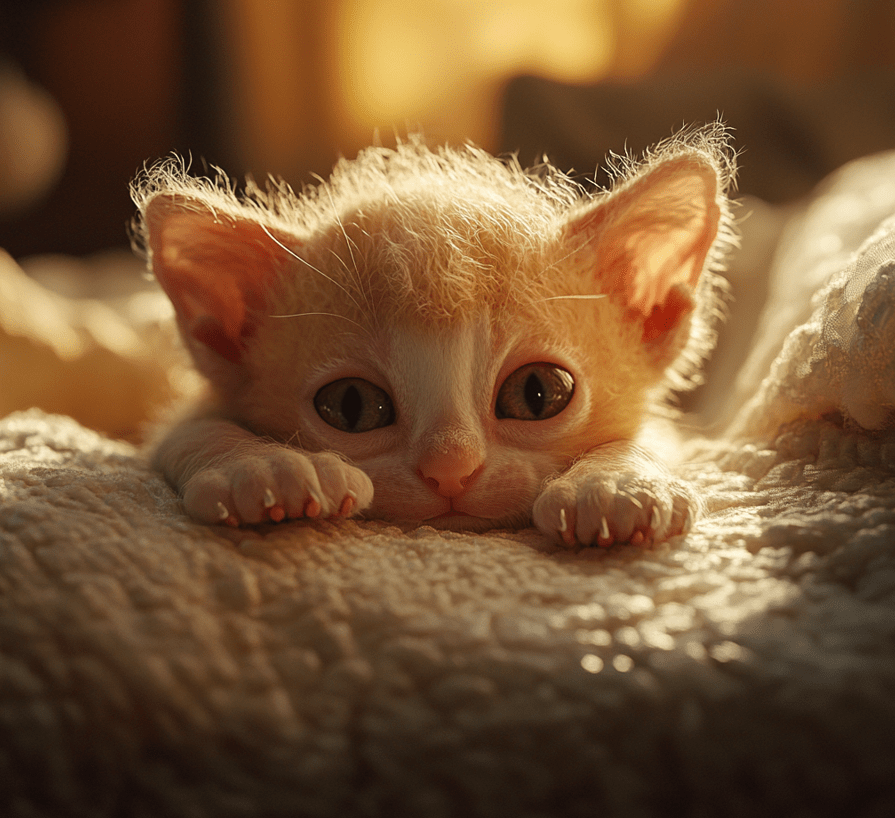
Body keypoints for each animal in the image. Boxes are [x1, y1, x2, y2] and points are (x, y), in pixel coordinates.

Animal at [131, 126, 736, 548]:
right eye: (351, 406)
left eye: (537, 393)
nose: (450, 469)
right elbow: (194, 431)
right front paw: (263, 470)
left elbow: (650, 436)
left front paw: (614, 487)